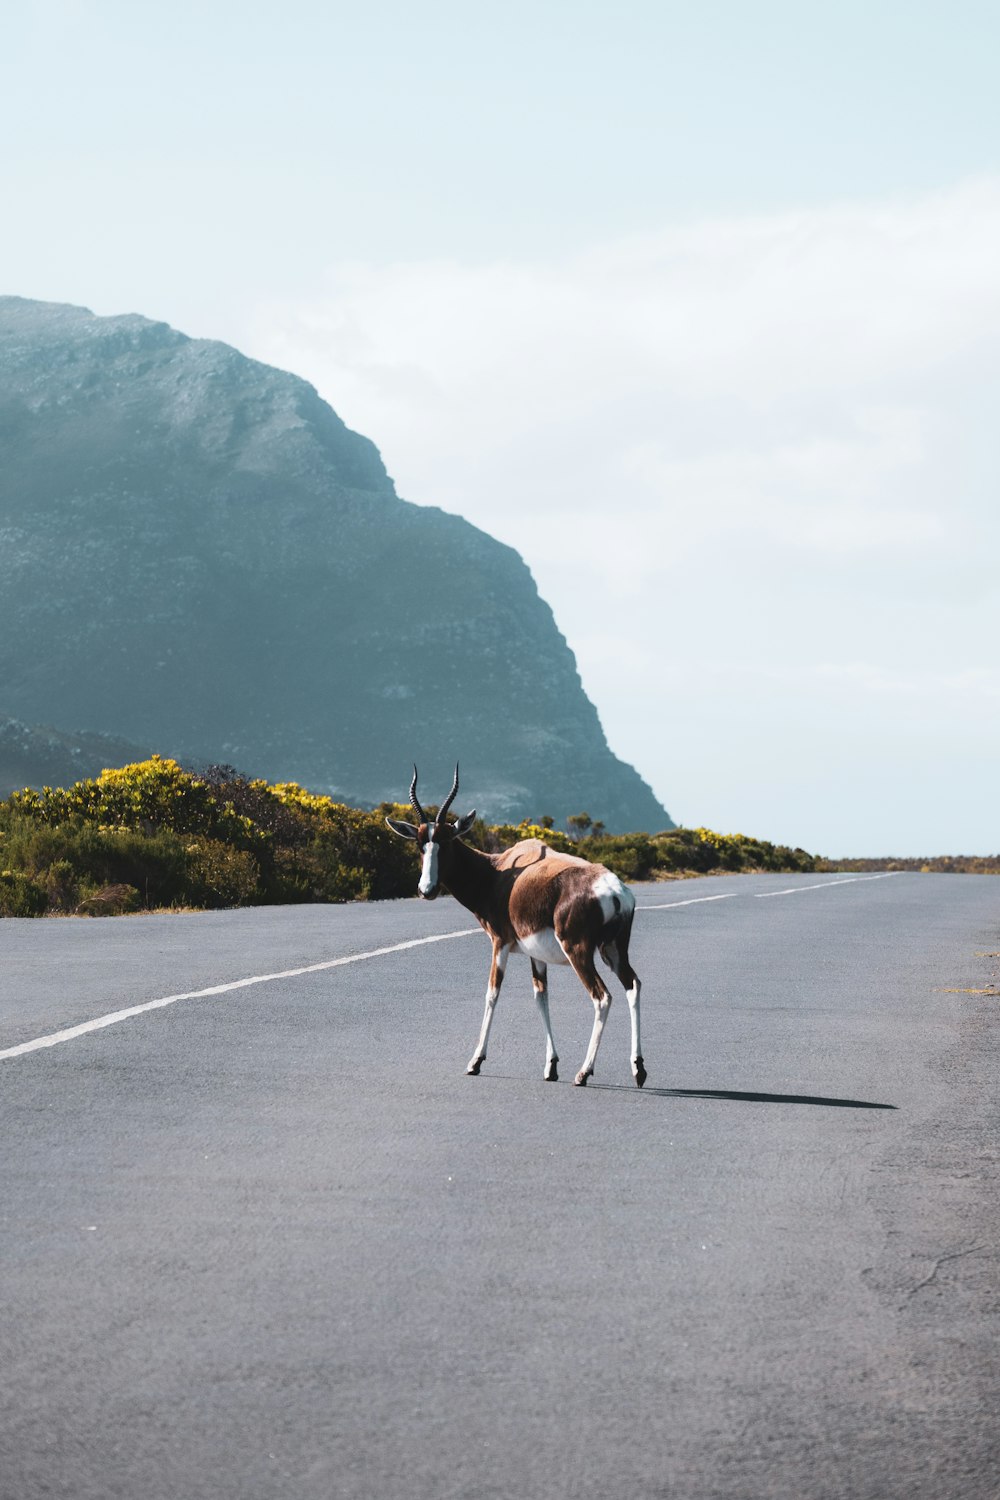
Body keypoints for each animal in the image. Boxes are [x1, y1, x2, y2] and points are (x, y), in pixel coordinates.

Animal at [386, 768, 644, 1086]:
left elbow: (492, 993)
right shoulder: (536, 954)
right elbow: (541, 996)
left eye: (446, 841)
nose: (427, 890)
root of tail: (615, 891)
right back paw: (639, 1069)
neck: (498, 873)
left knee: (602, 997)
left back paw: (584, 1072)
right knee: (633, 984)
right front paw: (550, 1066)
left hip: (579, 952)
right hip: (614, 950)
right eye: (420, 843)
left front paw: (475, 1062)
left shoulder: (500, 943)